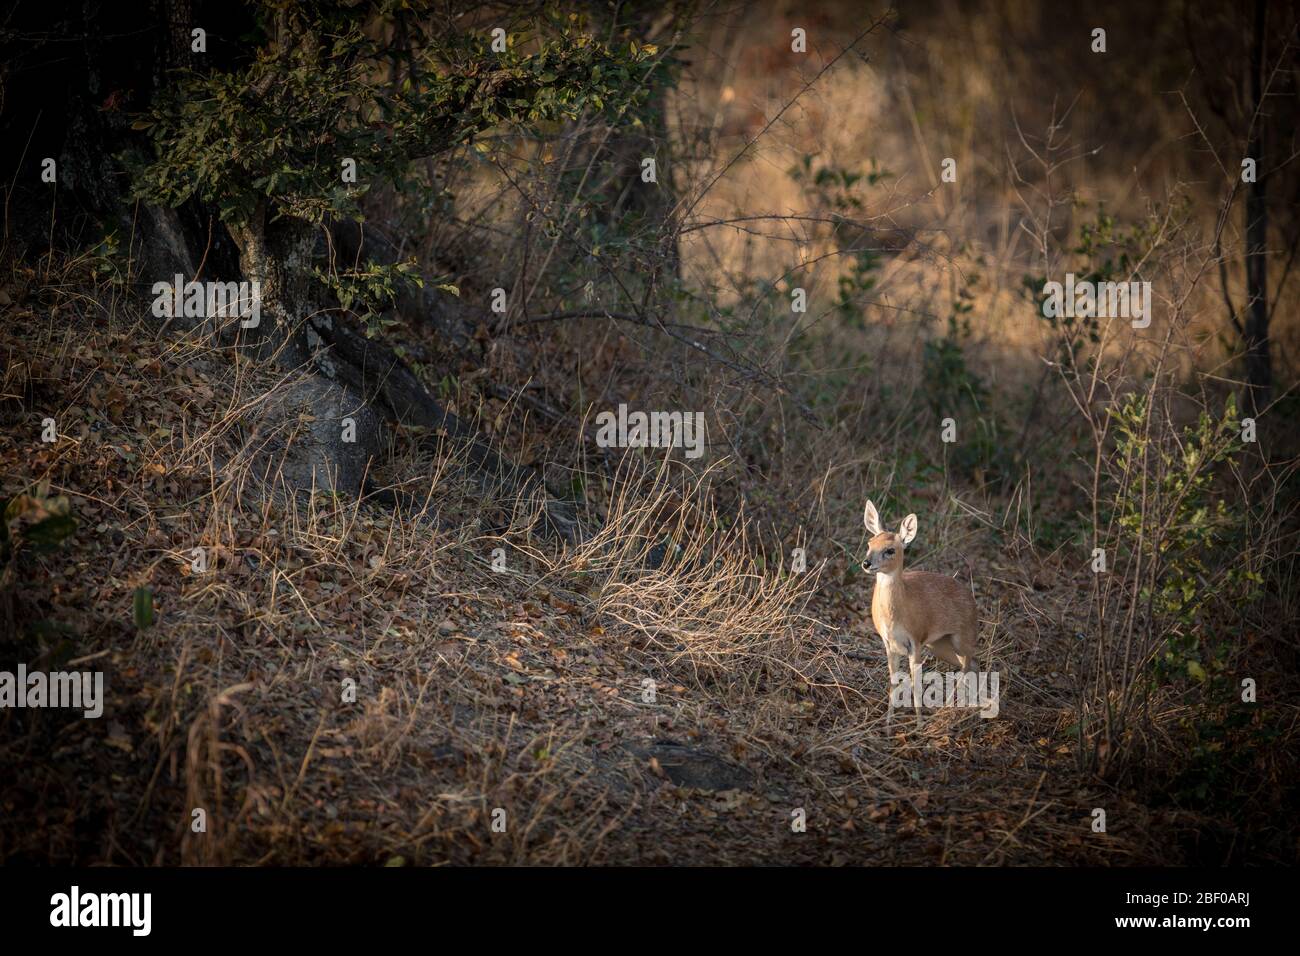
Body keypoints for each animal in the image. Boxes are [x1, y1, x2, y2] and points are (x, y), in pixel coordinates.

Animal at [863, 496, 977, 728]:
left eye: (890, 550)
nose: (866, 563)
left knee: (967, 666)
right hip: (939, 645)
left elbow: (916, 686)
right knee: (972, 665)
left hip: (961, 638)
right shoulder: (889, 644)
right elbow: (893, 682)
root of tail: (973, 602)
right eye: (869, 543)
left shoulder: (915, 641)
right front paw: (888, 724)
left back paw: (948, 709)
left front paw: (919, 725)